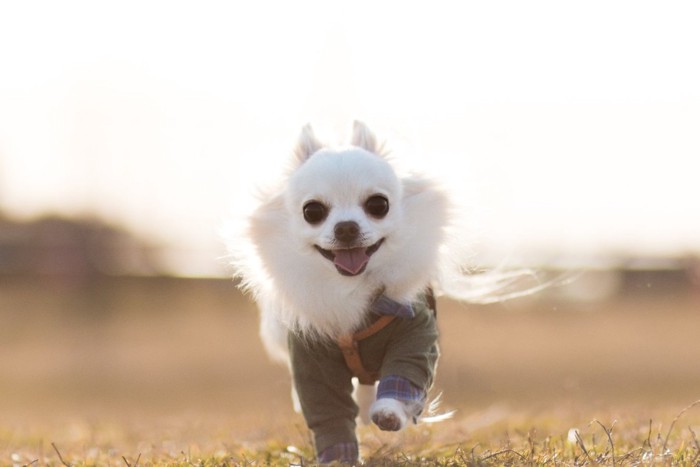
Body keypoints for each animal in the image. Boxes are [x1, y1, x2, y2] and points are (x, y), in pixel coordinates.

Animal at [232, 120, 512, 464]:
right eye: (312, 211)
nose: (346, 227)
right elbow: (328, 411)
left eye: (378, 205)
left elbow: (403, 377)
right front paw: (339, 456)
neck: (350, 287)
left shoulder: (414, 335)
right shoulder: (312, 359)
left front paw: (390, 412)